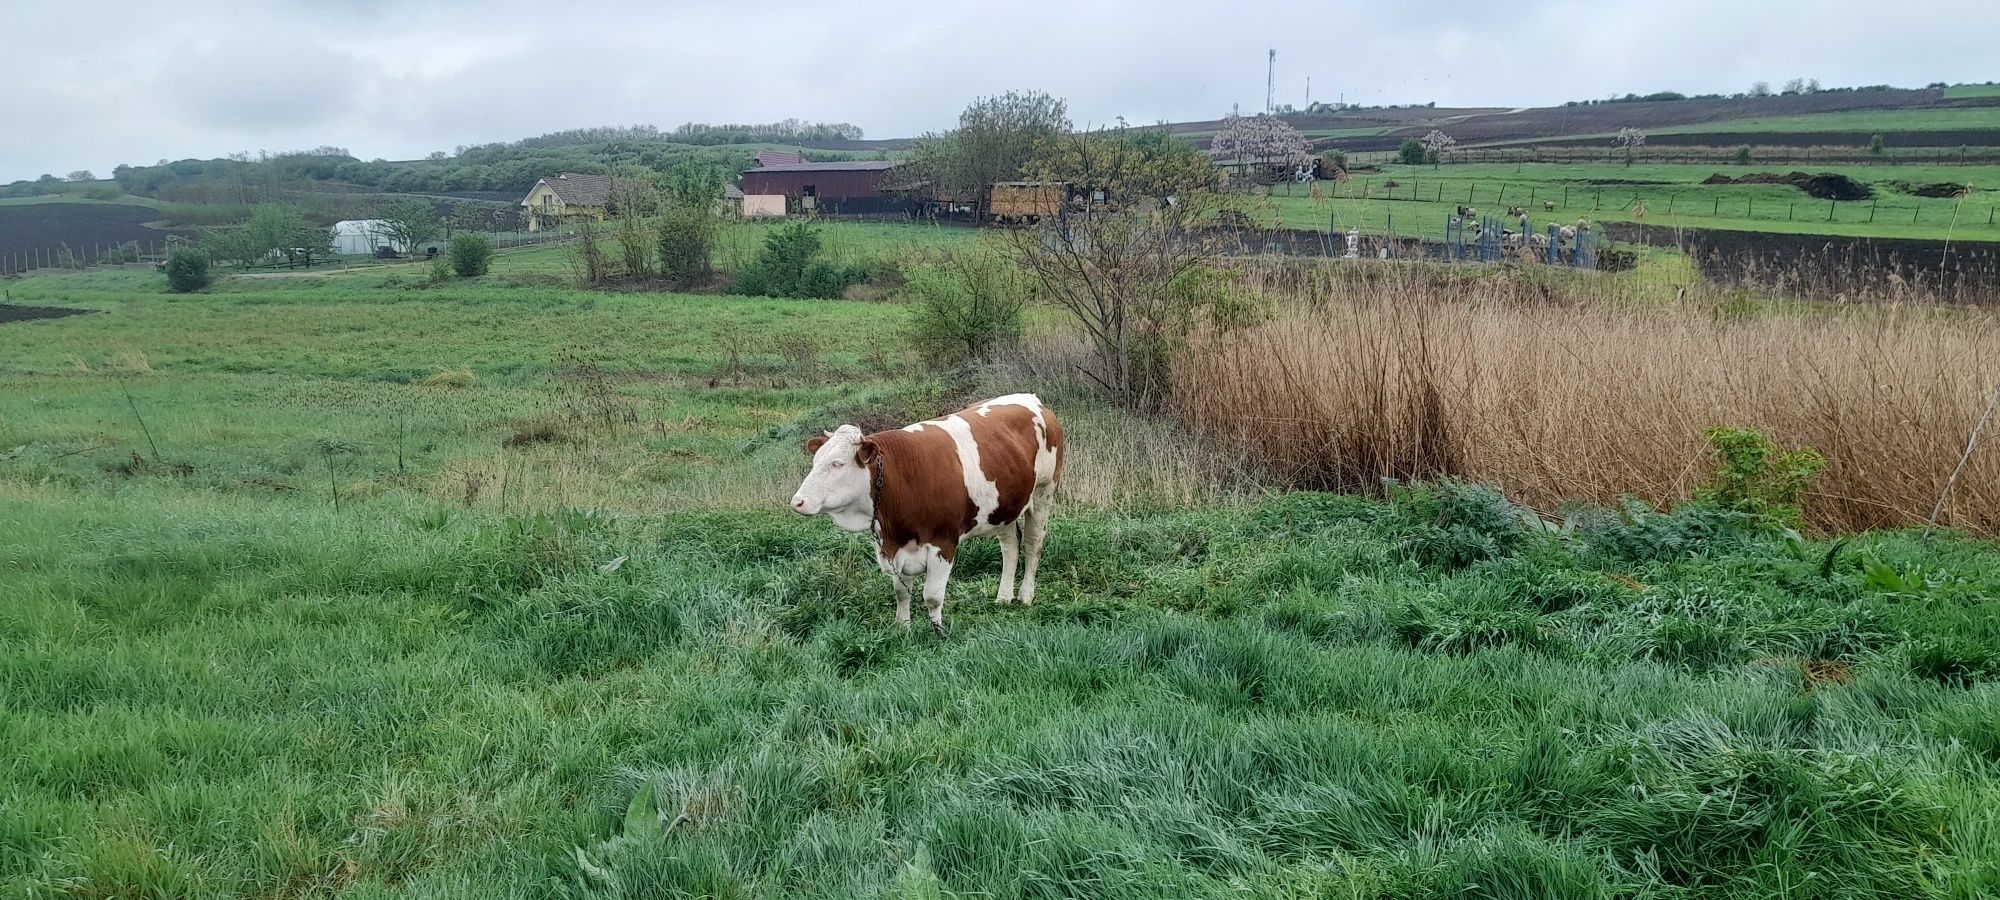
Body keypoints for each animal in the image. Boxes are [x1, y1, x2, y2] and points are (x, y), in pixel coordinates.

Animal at [784, 394, 1064, 632]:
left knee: (1033, 543)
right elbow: (901, 592)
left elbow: (932, 596)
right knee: (1010, 546)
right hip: (1004, 507)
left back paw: (1026, 595)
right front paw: (902, 629)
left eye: (837, 464)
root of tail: (1032, 399)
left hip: (1044, 492)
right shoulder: (893, 547)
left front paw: (937, 631)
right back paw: (1004, 597)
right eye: (815, 461)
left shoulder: (943, 543)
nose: (798, 501)